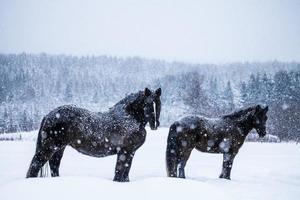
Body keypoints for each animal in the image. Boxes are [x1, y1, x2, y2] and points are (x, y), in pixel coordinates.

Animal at [26, 87, 162, 181]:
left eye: (159, 104)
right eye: (148, 104)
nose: (155, 124)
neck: (130, 117)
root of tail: (48, 115)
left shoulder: (131, 152)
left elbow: (125, 173)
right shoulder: (124, 151)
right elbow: (119, 172)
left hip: (59, 148)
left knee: (54, 165)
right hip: (49, 148)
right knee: (35, 166)